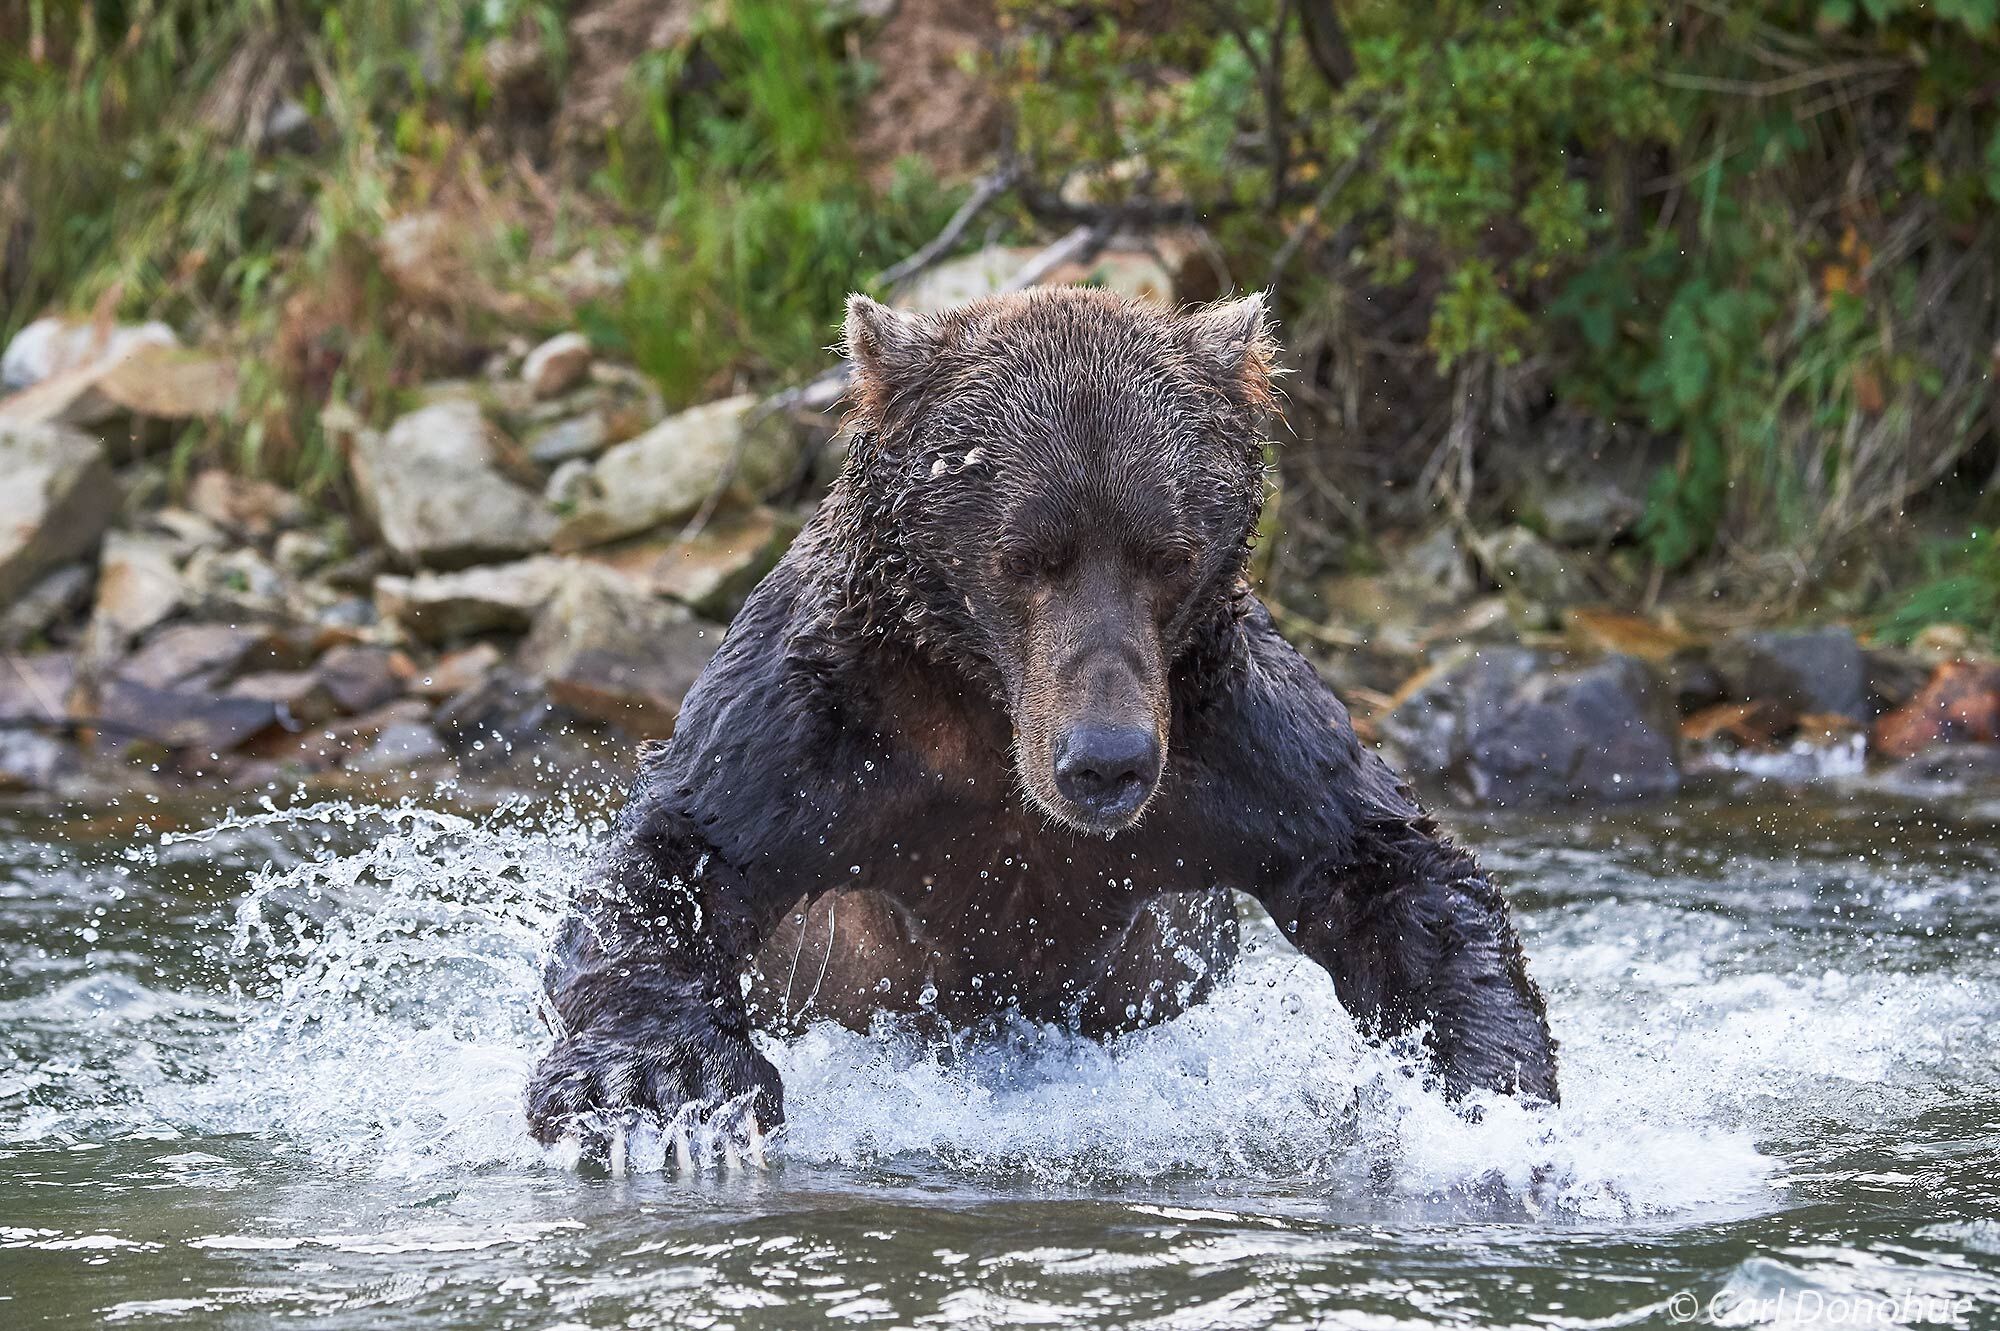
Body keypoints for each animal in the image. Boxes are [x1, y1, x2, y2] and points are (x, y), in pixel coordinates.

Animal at [524, 285, 1552, 1143]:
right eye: (1024, 556)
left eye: (1167, 554)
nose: (1105, 760)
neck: (992, 714)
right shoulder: (825, 717)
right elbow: (687, 846)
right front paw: (661, 1086)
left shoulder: (1229, 739)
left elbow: (1384, 859)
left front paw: (1492, 1090)